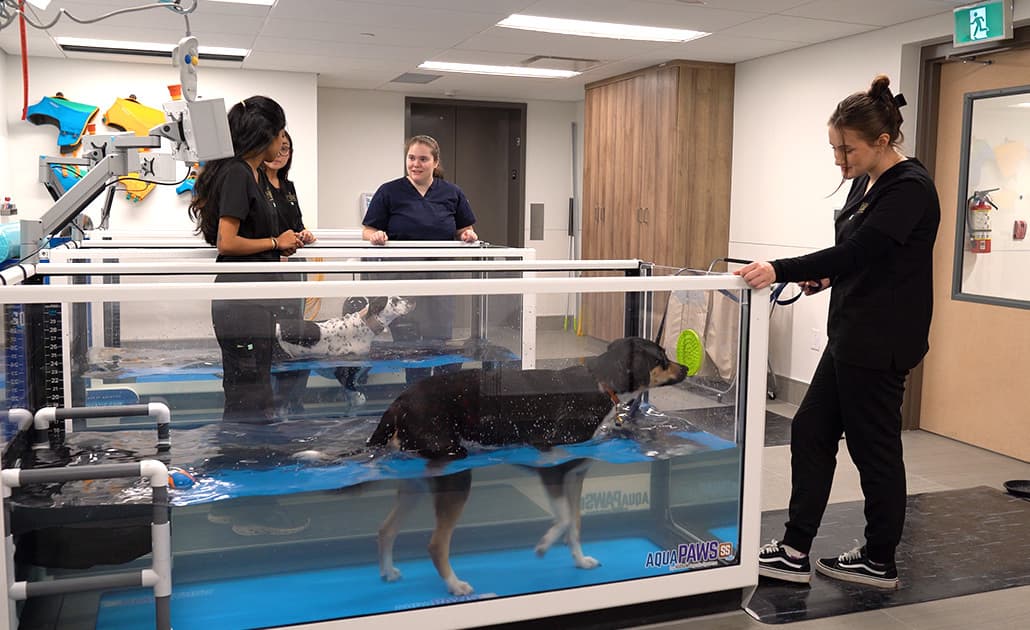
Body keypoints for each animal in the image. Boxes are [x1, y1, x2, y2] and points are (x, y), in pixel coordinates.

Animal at [366, 337, 688, 592]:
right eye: (661, 358)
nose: (686, 368)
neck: (601, 384)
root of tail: (399, 402)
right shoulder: (552, 465)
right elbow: (564, 520)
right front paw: (544, 544)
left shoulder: (576, 473)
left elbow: (575, 524)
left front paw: (580, 560)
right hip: (454, 472)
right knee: (435, 544)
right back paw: (455, 586)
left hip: (417, 481)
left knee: (385, 529)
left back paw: (387, 571)